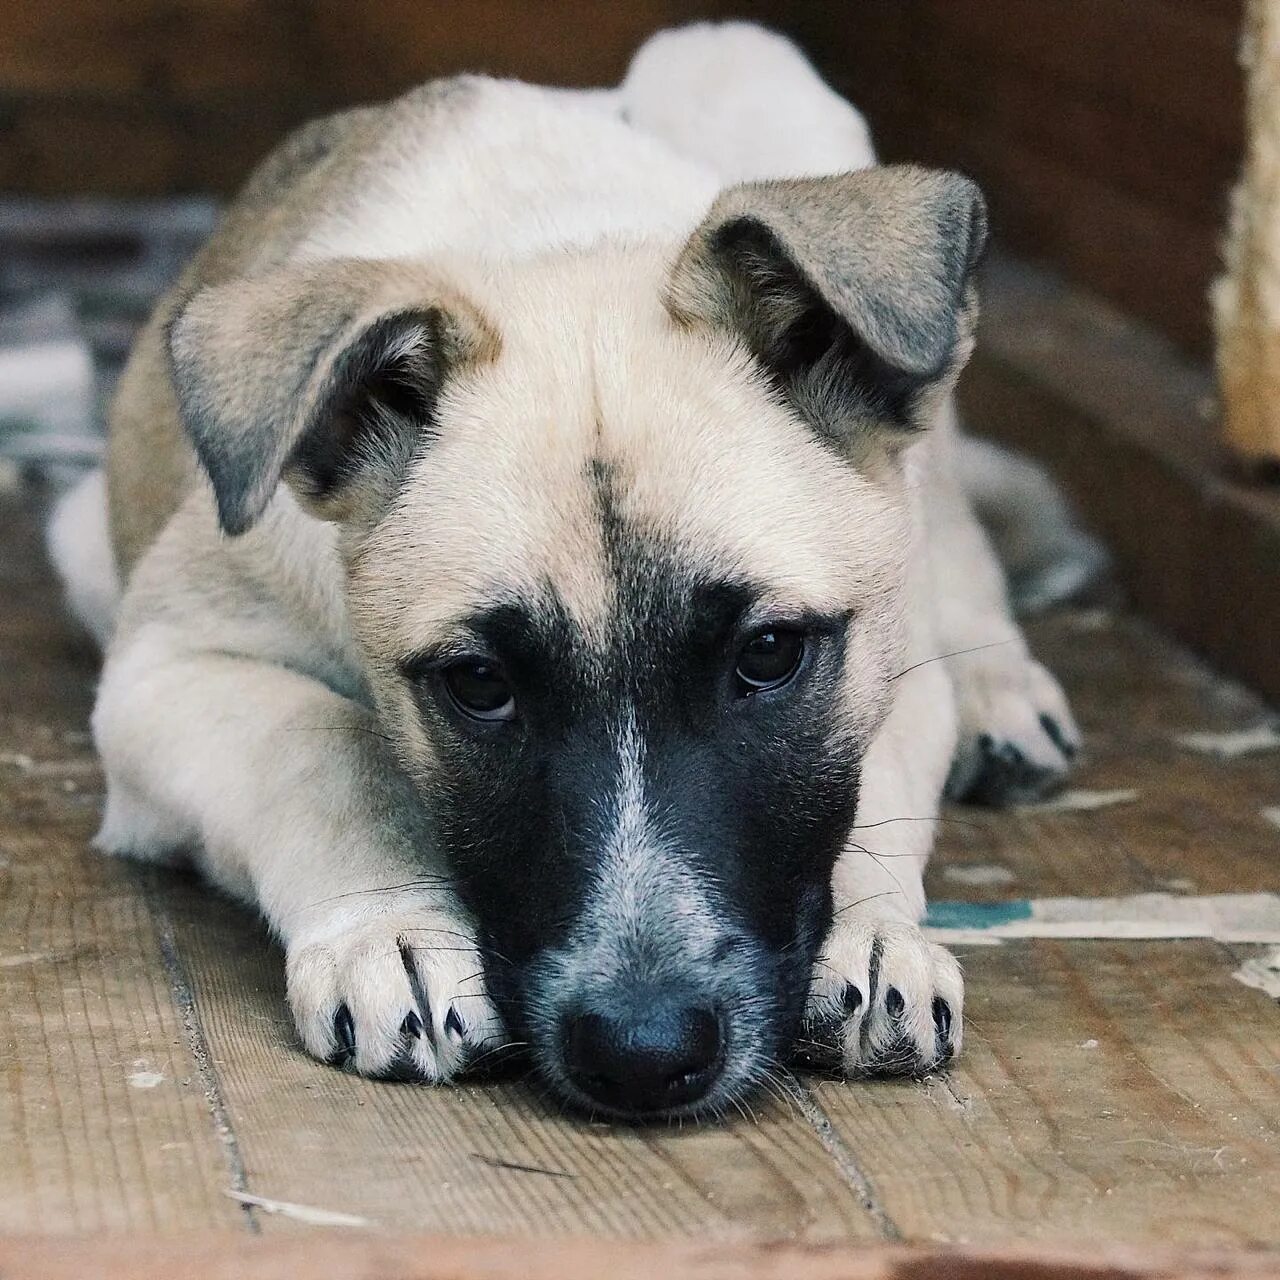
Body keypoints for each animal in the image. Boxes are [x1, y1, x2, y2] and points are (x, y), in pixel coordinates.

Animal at [49, 20, 1105, 1121]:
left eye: (769, 653)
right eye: (478, 684)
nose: (643, 1055)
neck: (555, 244)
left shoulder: (884, 650)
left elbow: (866, 788)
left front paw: (875, 934)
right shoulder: (165, 672)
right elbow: (324, 745)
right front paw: (392, 931)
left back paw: (1002, 687)